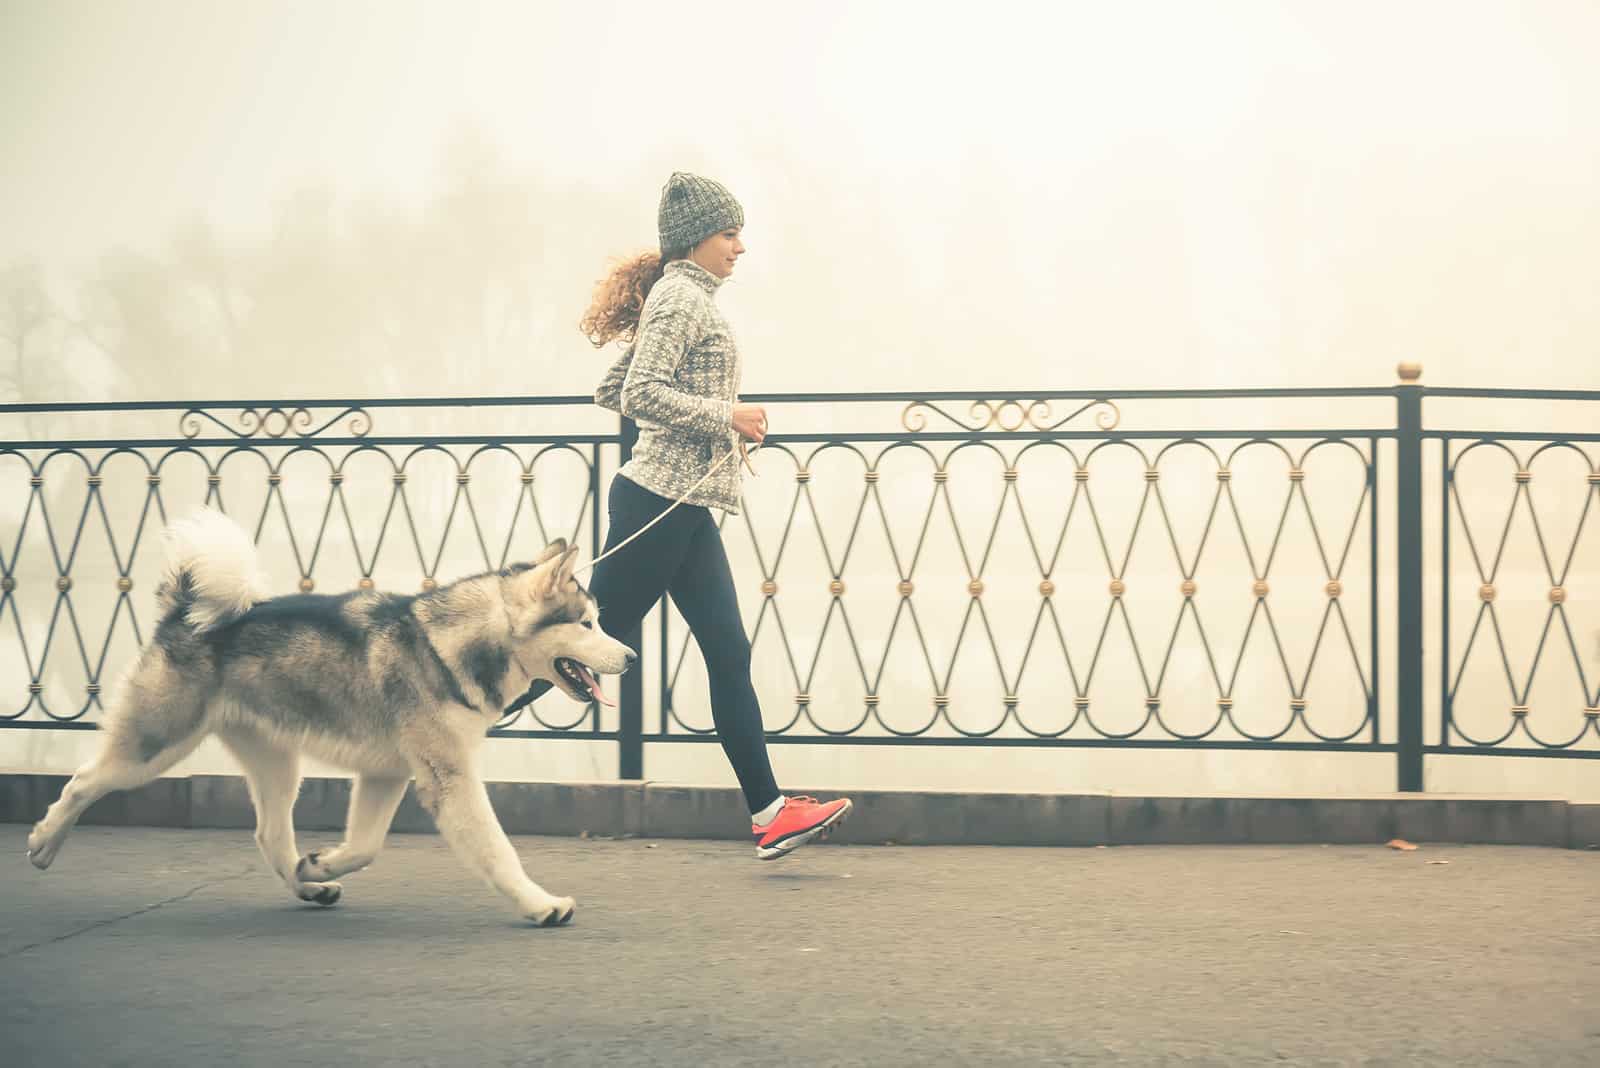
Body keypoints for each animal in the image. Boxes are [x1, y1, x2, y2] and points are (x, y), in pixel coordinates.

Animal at [26, 511, 630, 927]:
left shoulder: (387, 774)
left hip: (276, 764)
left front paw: (317, 868)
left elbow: (365, 847)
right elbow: (498, 850)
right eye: (588, 624)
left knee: (270, 834)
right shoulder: (448, 779)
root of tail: (184, 612)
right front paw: (541, 904)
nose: (630, 657)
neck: (447, 645)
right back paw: (43, 842)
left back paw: (307, 888)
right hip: (155, 745)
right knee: (82, 782)